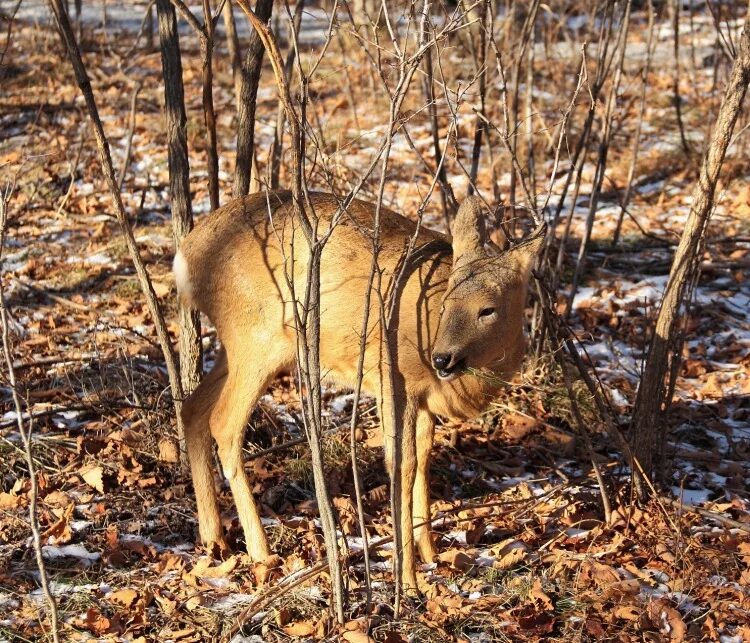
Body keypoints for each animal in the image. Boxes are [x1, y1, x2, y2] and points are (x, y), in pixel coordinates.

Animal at [173, 189, 544, 592]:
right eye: (448, 301)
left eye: (487, 309)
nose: (442, 358)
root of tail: (186, 254)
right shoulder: (393, 378)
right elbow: (402, 465)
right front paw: (408, 582)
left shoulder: (424, 398)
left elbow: (424, 459)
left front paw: (431, 554)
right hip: (258, 336)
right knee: (224, 423)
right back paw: (261, 552)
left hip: (239, 345)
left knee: (192, 408)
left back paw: (213, 537)